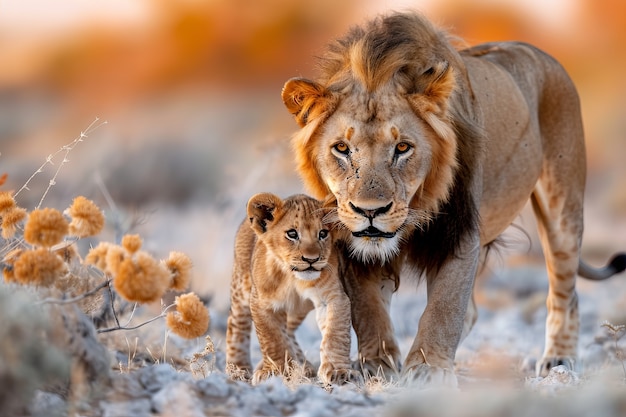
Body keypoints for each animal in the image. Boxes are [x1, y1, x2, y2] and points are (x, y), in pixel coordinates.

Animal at [280, 11, 624, 386]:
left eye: (403, 147)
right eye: (341, 148)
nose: (371, 211)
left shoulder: (460, 232)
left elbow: (444, 306)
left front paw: (427, 369)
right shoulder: (349, 239)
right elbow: (367, 307)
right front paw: (377, 365)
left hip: (564, 209)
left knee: (564, 291)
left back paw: (558, 359)